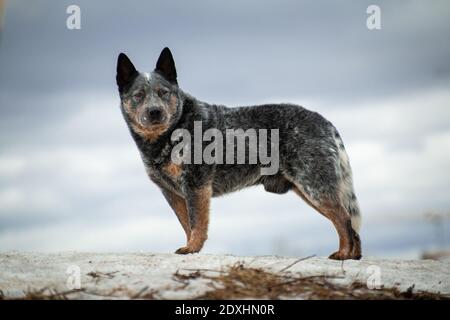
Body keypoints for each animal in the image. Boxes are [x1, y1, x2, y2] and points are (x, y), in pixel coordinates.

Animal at [116, 47, 362, 260]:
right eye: (138, 95)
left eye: (163, 92)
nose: (154, 112)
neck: (172, 133)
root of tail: (326, 122)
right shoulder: (172, 193)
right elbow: (186, 224)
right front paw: (190, 247)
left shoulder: (196, 185)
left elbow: (197, 223)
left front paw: (192, 248)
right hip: (307, 189)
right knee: (349, 223)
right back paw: (353, 256)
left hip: (314, 187)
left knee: (344, 219)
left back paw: (343, 254)